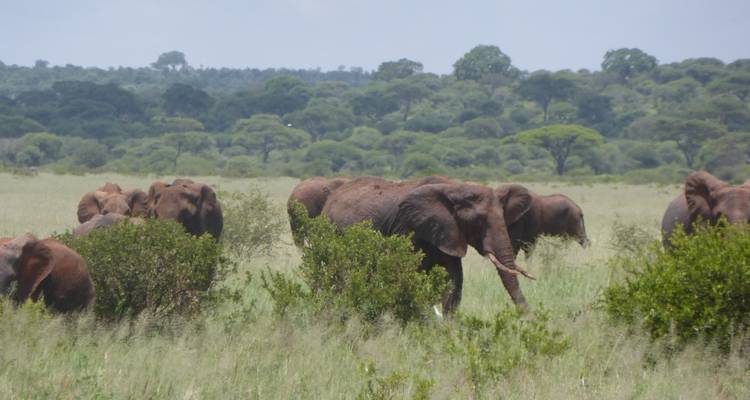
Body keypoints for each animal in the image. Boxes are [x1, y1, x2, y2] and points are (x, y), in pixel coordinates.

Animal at [320, 176, 534, 312]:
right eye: (478, 222)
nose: (527, 318)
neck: (455, 189)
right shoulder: (408, 227)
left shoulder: (448, 234)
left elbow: (453, 282)